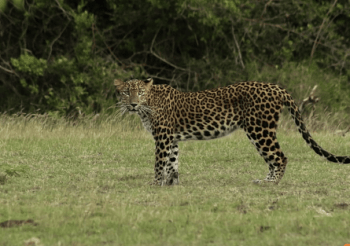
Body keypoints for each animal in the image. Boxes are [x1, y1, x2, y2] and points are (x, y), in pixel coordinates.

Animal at [115, 78, 350, 185]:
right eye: (126, 92)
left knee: (280, 157)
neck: (147, 105)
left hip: (259, 129)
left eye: (140, 92)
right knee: (273, 159)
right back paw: (263, 180)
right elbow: (172, 162)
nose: (133, 104)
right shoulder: (171, 138)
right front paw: (171, 183)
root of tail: (276, 87)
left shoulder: (163, 137)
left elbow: (159, 162)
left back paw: (270, 183)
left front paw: (155, 183)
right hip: (258, 131)